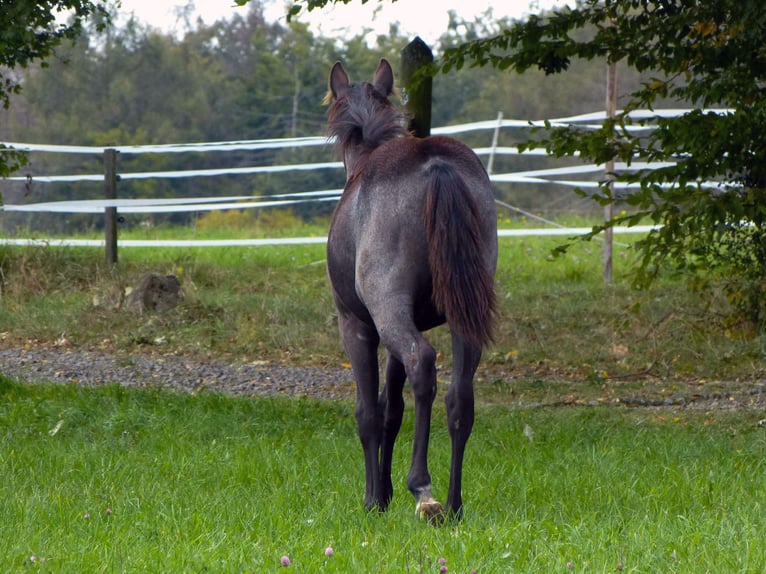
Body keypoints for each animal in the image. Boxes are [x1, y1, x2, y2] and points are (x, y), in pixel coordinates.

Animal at [324, 60, 498, 524]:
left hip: (389, 314)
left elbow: (370, 412)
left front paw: (373, 499)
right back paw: (454, 503)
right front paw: (382, 494)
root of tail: (435, 164)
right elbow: (392, 410)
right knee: (459, 398)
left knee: (423, 363)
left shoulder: (359, 327)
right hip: (464, 316)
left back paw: (424, 490)